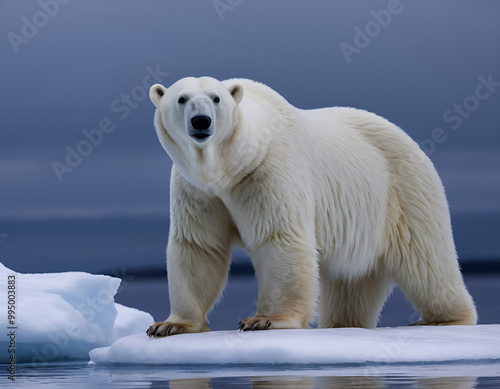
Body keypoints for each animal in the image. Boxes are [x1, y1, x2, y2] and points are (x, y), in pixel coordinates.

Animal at [146, 76, 476, 336]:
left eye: (216, 98)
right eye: (182, 98)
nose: (201, 121)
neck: (230, 167)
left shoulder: (267, 171)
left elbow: (280, 238)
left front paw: (264, 320)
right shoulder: (197, 191)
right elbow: (199, 246)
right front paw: (169, 325)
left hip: (403, 193)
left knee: (427, 260)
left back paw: (443, 319)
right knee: (351, 281)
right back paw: (343, 323)